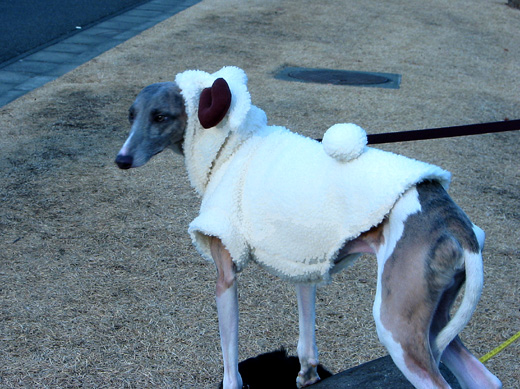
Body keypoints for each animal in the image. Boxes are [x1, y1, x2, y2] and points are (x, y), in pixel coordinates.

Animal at [116, 68, 502, 386]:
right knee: (484, 379)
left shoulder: (226, 275)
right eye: (131, 114)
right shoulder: (303, 262)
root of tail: (453, 220)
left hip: (397, 324)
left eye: (161, 116)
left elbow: (230, 364)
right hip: (433, 315)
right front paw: (307, 373)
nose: (121, 160)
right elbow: (306, 332)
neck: (231, 147)